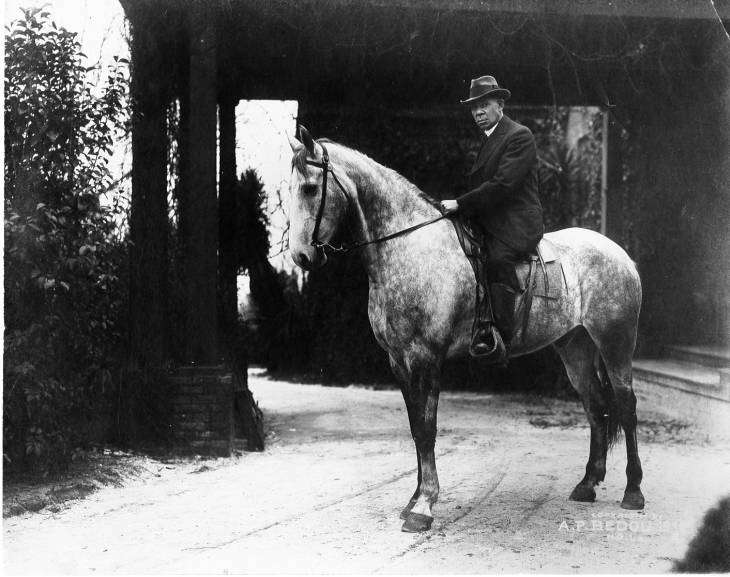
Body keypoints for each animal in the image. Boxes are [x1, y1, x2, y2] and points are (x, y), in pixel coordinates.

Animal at [288, 127, 640, 532]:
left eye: (310, 188)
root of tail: (621, 254)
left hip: (615, 344)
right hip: (575, 347)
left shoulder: (425, 358)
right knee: (596, 407)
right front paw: (414, 500)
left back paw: (633, 492)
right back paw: (587, 484)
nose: (300, 256)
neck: (409, 246)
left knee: (626, 406)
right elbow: (415, 428)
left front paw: (424, 506)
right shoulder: (398, 362)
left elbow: (427, 428)